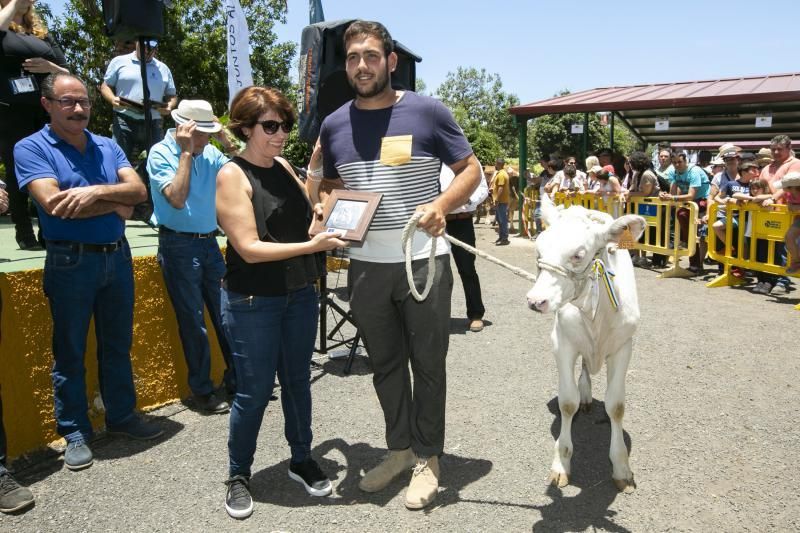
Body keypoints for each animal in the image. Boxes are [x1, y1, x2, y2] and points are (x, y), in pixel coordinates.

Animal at [528, 193, 648, 492]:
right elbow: (567, 403)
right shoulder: (562, 342)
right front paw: (561, 463)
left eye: (578, 255)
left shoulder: (624, 346)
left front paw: (621, 467)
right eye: (538, 251)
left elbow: (616, 406)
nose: (535, 301)